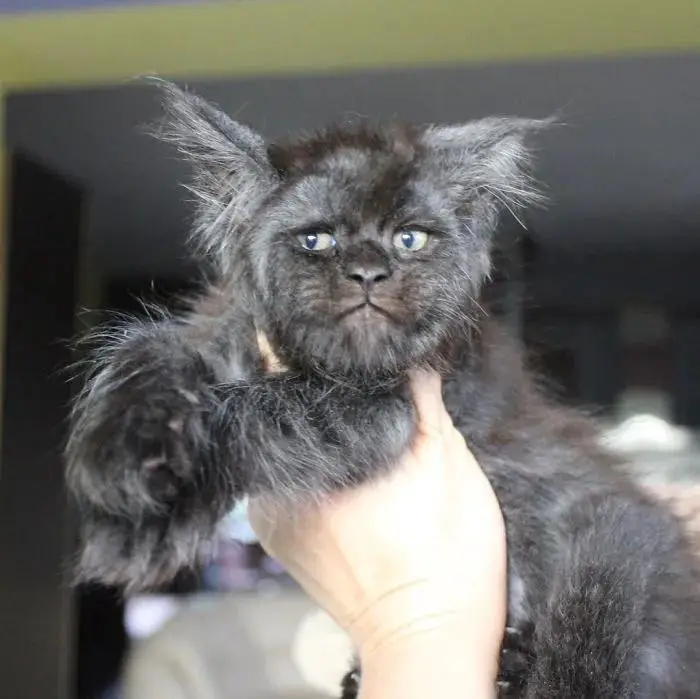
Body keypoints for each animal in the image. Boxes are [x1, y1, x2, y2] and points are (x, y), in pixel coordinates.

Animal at [64, 83, 700, 699]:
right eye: (316, 240)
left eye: (409, 239)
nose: (369, 272)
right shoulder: (223, 332)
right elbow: (153, 349)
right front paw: (121, 448)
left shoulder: (378, 408)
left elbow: (254, 406)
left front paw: (144, 522)